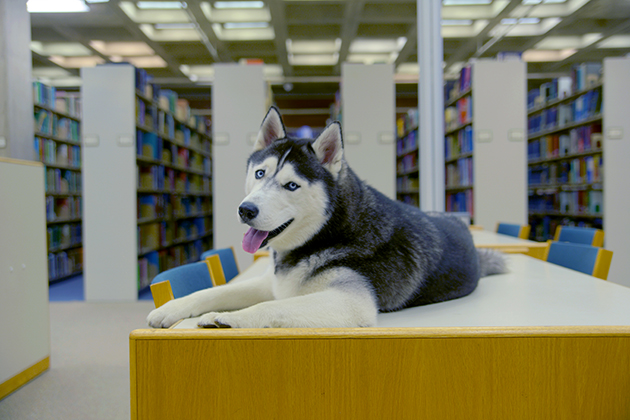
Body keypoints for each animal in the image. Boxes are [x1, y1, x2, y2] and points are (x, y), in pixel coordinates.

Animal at [146, 107, 506, 328]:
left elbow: (270, 307)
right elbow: (214, 290)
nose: (246, 210)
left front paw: (227, 318)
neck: (327, 232)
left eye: (291, 185)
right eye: (260, 173)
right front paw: (171, 308)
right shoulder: (275, 283)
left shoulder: (349, 301)